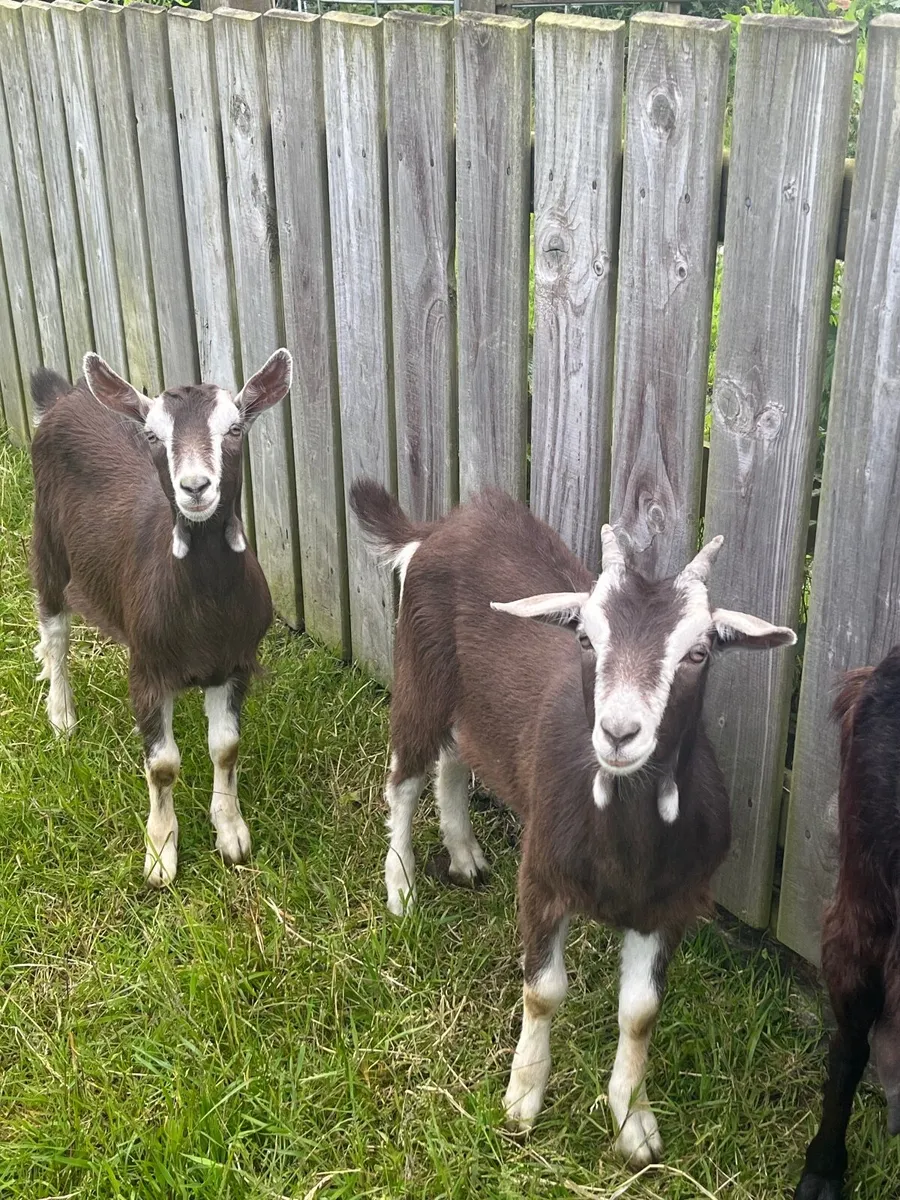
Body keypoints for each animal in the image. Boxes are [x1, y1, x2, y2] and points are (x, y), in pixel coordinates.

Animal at [30, 349, 292, 886]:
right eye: (153, 436)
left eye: (235, 428)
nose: (195, 487)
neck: (204, 611)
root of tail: (63, 397)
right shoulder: (148, 670)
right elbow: (163, 765)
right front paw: (159, 854)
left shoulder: (234, 662)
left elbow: (226, 747)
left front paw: (231, 834)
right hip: (47, 540)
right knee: (54, 627)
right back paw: (62, 714)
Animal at [350, 480, 796, 1165]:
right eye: (585, 638)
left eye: (698, 652)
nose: (619, 732)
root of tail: (437, 528)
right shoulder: (541, 876)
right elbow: (544, 991)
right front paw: (522, 1099)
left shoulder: (671, 905)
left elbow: (640, 1012)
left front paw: (633, 1124)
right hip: (420, 670)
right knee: (403, 775)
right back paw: (401, 887)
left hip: (476, 703)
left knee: (455, 759)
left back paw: (464, 856)